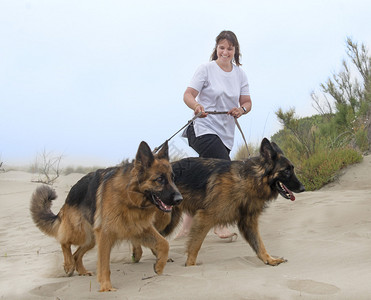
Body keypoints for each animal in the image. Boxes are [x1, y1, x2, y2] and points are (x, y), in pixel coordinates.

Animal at [30, 142, 183, 292]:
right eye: (160, 179)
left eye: (173, 178)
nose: (179, 199)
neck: (129, 197)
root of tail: (70, 195)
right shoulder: (106, 235)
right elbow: (104, 265)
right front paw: (106, 287)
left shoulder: (140, 229)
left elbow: (164, 243)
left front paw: (159, 266)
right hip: (80, 232)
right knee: (64, 241)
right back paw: (68, 265)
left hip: (91, 239)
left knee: (76, 254)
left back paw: (81, 270)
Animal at [135, 137, 304, 266]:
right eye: (286, 171)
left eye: (292, 169)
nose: (303, 188)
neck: (249, 179)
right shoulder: (204, 218)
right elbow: (195, 246)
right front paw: (190, 266)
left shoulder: (248, 222)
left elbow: (259, 244)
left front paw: (270, 260)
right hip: (166, 218)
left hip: (172, 218)